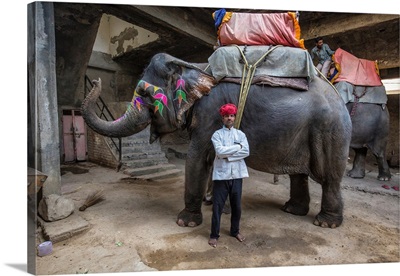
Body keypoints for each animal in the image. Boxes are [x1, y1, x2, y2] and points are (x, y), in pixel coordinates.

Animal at [83, 52, 352, 229]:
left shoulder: (210, 111)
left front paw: (185, 221)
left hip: (329, 130)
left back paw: (325, 223)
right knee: (300, 174)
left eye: (146, 94)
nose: (95, 81)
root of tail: (339, 97)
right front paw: (212, 203)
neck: (194, 66)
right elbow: (213, 158)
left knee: (329, 177)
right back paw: (293, 210)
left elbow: (197, 157)